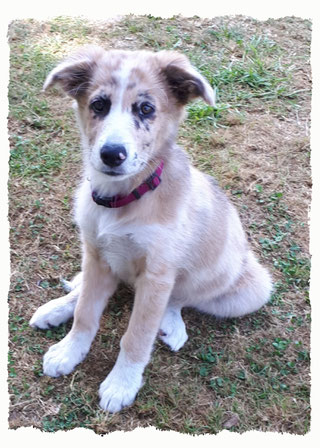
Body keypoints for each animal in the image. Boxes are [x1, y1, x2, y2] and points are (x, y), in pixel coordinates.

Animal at [29, 46, 272, 412]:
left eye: (145, 109)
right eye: (98, 105)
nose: (112, 154)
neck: (124, 198)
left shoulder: (157, 276)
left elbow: (137, 336)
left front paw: (121, 384)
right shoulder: (97, 253)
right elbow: (86, 312)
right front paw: (69, 351)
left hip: (248, 288)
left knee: (179, 299)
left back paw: (171, 324)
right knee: (87, 291)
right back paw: (57, 306)